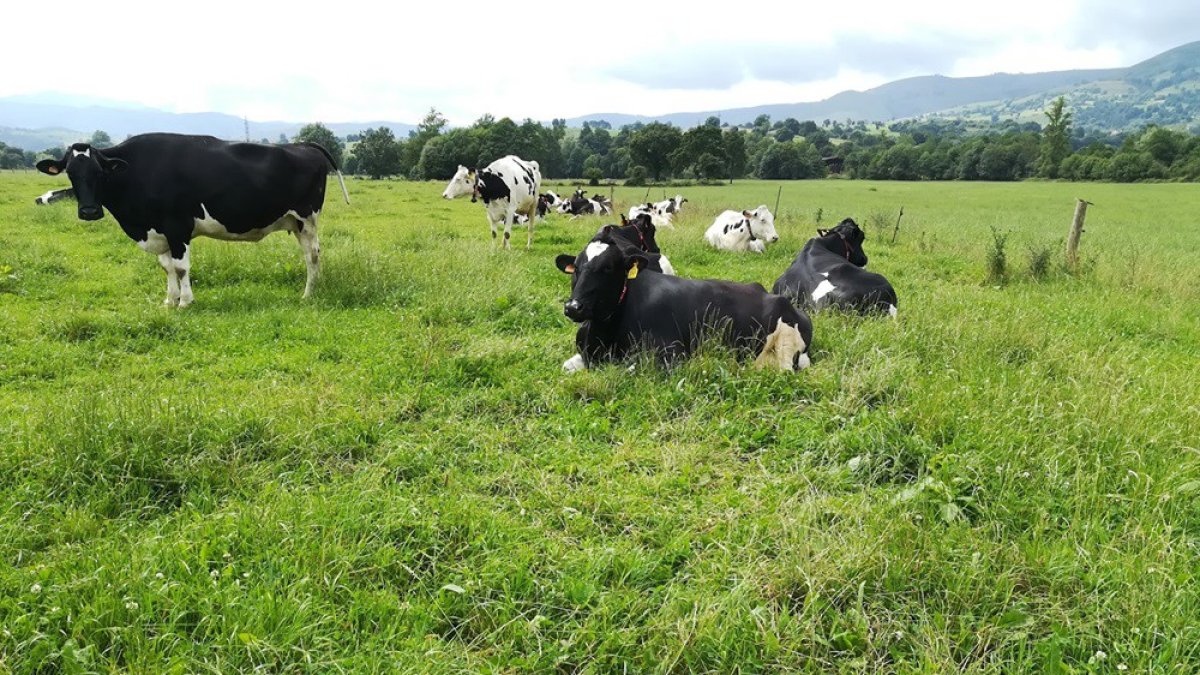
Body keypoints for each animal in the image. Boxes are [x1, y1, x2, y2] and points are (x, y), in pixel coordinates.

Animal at [35, 133, 350, 307]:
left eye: (100, 173)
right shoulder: (159, 231)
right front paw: (169, 300)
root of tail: (303, 145)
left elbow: (181, 267)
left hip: (306, 218)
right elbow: (166, 267)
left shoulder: (177, 227)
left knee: (312, 255)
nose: (89, 211)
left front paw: (185, 301)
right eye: (71, 173)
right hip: (295, 222)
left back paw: (308, 294)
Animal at [554, 232, 812, 373]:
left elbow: (630, 368)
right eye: (576, 268)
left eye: (608, 268)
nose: (573, 307)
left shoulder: (671, 355)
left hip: (784, 349)